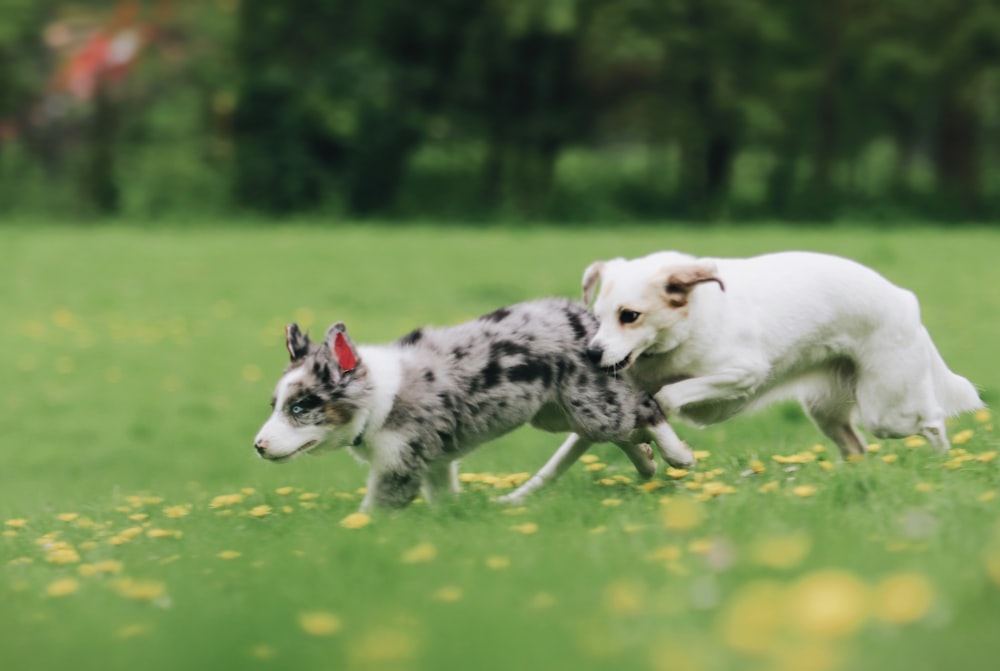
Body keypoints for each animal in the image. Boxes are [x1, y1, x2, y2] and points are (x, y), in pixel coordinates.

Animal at [252, 296, 696, 512]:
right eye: (275, 404)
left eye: (300, 407)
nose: (258, 446)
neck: (379, 397)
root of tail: (591, 321)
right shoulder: (434, 463)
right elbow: (444, 500)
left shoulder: (400, 464)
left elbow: (374, 509)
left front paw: (353, 528)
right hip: (557, 413)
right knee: (620, 430)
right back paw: (646, 462)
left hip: (589, 403)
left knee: (644, 409)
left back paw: (679, 455)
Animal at [584, 249, 980, 460]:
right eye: (598, 316)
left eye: (629, 316)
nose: (591, 353)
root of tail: (904, 299)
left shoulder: (743, 374)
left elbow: (669, 394)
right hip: (826, 411)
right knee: (856, 447)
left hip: (887, 411)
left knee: (933, 420)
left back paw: (943, 462)